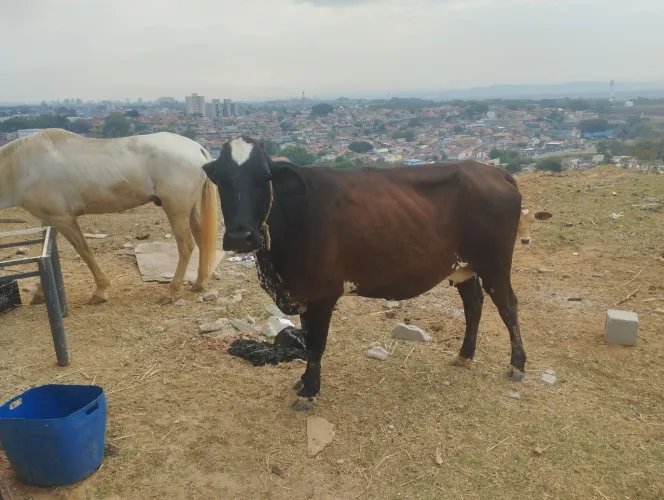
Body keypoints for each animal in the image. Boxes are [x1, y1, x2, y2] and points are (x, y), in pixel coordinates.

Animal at [203, 136, 528, 412]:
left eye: (265, 178)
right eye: (220, 178)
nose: (239, 236)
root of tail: (495, 172)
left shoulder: (322, 296)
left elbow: (316, 345)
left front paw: (309, 391)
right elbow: (308, 341)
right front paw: (304, 382)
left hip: (495, 264)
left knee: (508, 306)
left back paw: (517, 365)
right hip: (463, 267)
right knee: (473, 305)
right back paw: (464, 355)